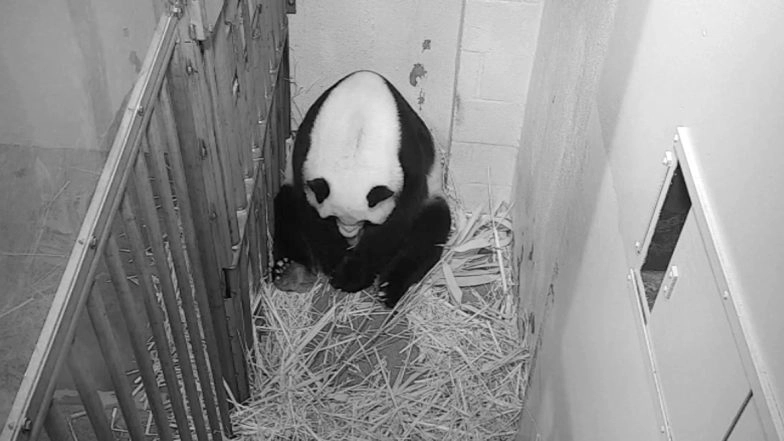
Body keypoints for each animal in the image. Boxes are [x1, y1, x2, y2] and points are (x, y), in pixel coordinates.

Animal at [272, 70, 451, 308]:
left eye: (365, 221)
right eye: (333, 217)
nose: (349, 234)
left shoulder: (408, 159)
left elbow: (398, 220)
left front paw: (351, 275)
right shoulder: (304, 153)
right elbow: (310, 214)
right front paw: (336, 262)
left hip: (434, 195)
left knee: (430, 230)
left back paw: (389, 289)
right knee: (286, 209)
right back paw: (291, 272)